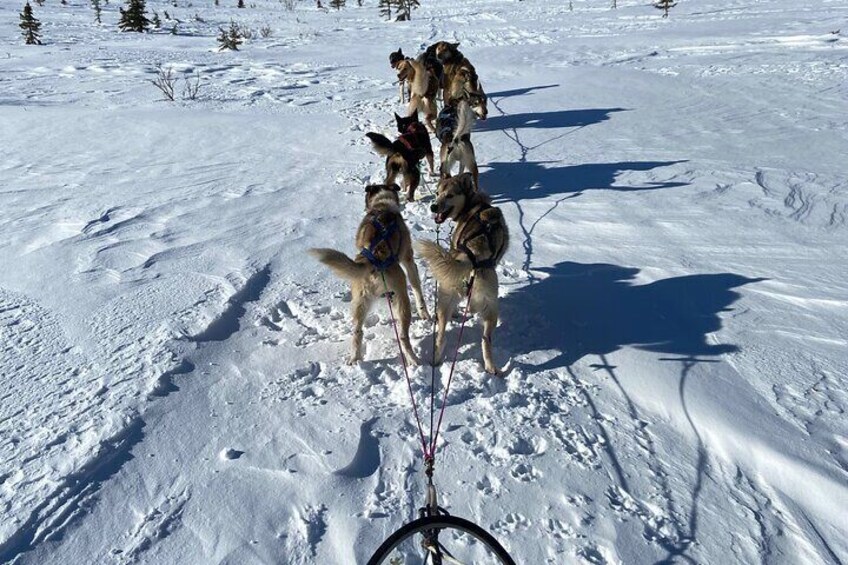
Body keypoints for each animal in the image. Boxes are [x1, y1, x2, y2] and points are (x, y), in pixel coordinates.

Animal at [414, 174, 506, 372]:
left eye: (449, 195)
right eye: (437, 193)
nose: (433, 206)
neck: (474, 206)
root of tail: (473, 256)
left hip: (457, 302)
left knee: (452, 338)